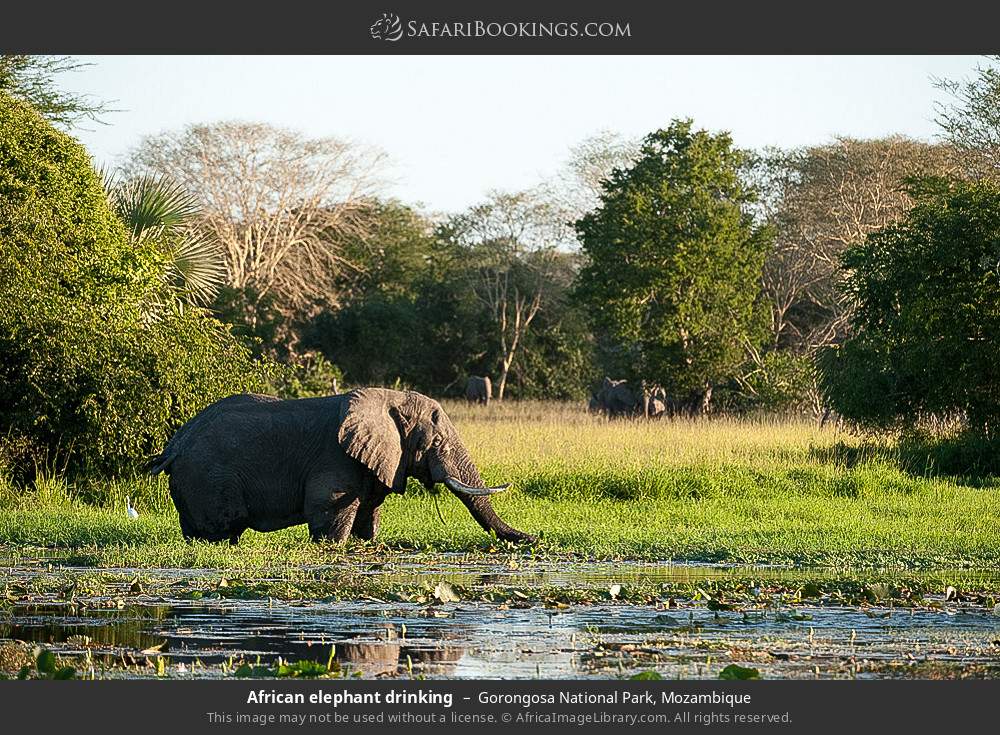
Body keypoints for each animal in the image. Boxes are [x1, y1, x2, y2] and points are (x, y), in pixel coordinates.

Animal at [146, 388, 533, 545]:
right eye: (437, 444)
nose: (534, 538)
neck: (389, 400)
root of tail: (174, 445)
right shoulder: (334, 458)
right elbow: (329, 511)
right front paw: (332, 546)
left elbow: (368, 514)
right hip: (209, 478)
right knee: (219, 531)